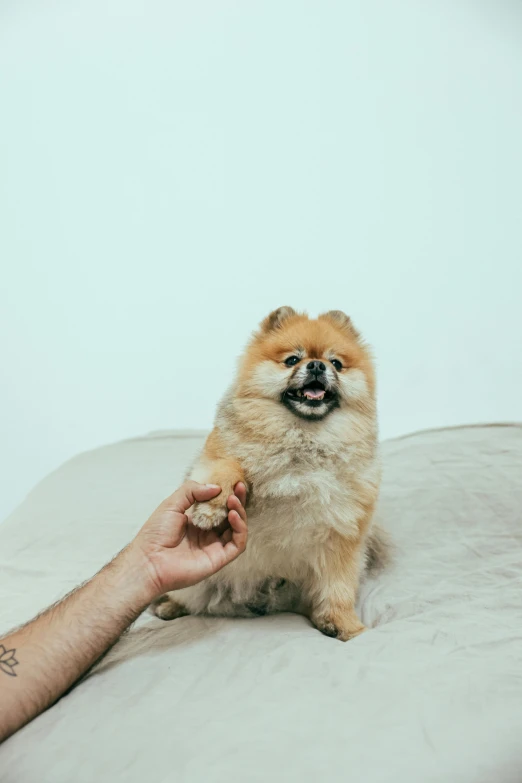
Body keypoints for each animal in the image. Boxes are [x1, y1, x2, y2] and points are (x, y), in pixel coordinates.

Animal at [150, 306, 382, 644]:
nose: (317, 365)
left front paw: (344, 624)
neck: (303, 440)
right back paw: (169, 606)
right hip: (194, 581)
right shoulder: (212, 458)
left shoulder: (342, 537)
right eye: (292, 359)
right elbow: (229, 467)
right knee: (188, 596)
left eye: (336, 363)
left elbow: (337, 588)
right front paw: (210, 508)